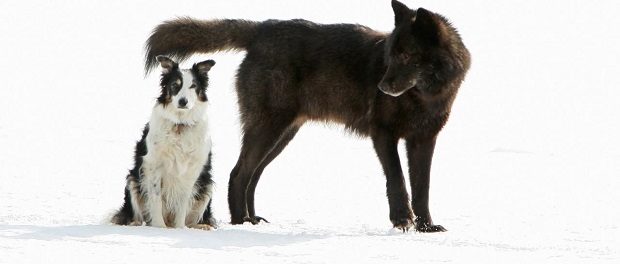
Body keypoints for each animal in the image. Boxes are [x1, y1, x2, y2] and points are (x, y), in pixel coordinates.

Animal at [112, 55, 217, 229]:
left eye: (193, 86)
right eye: (175, 85)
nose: (183, 101)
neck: (180, 124)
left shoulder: (192, 169)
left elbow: (183, 201)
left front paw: (179, 228)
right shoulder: (153, 165)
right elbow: (156, 199)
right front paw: (159, 228)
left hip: (207, 185)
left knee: (193, 217)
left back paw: (200, 226)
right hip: (132, 180)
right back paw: (136, 223)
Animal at [143, 0, 470, 231]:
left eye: (406, 56)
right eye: (391, 56)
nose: (381, 87)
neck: (425, 96)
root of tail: (262, 28)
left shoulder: (423, 140)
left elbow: (422, 187)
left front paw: (426, 227)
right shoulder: (383, 136)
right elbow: (398, 181)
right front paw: (402, 221)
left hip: (283, 135)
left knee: (252, 176)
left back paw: (252, 219)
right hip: (270, 129)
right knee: (239, 173)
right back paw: (240, 223)